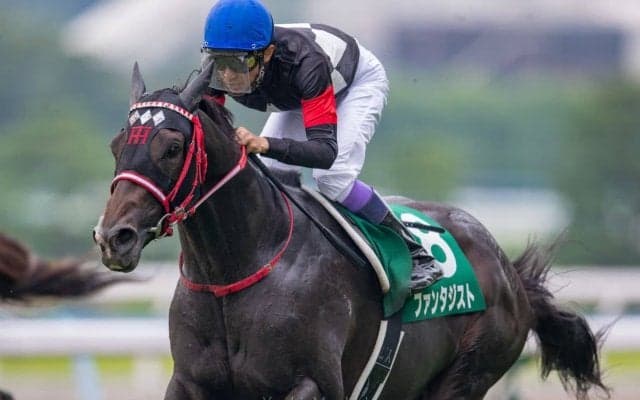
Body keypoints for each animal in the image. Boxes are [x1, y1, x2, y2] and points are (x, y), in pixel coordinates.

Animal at [93, 63, 609, 400]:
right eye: (117, 144)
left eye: (172, 146)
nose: (114, 237)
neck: (234, 272)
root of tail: (508, 271)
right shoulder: (189, 382)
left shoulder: (313, 384)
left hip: (469, 375)